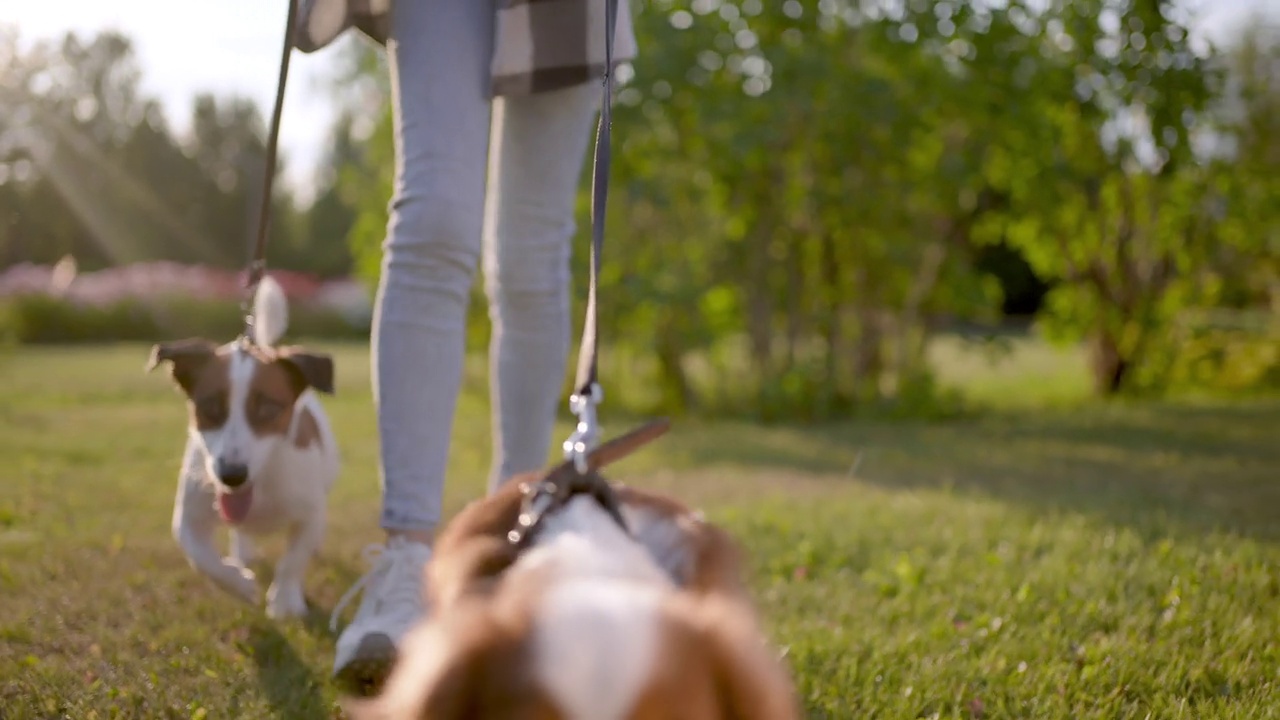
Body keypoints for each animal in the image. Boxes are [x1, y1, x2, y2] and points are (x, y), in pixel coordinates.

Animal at [146, 274, 340, 617]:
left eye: (268, 409)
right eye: (210, 407)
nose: (232, 475)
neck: (260, 484)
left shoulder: (308, 512)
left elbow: (293, 559)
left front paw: (285, 601)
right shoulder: (190, 515)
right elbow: (200, 556)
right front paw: (238, 583)